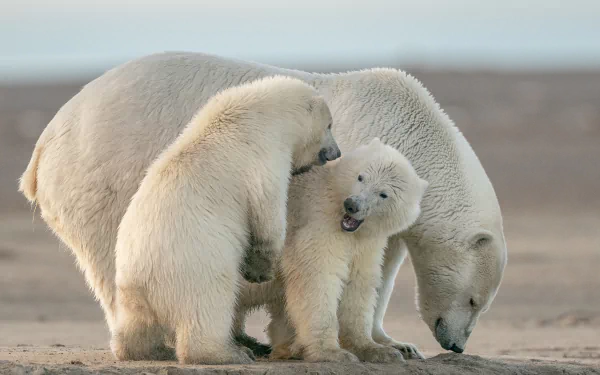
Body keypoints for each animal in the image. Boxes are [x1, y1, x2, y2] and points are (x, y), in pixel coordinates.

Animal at [110, 75, 340, 366]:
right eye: (330, 125)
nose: (336, 153)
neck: (259, 112)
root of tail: (143, 279)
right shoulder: (264, 157)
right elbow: (267, 212)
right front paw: (260, 270)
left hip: (130, 290)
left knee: (134, 325)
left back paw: (146, 350)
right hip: (195, 267)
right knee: (209, 306)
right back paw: (230, 352)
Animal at [262, 138, 426, 364]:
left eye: (383, 194)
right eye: (361, 177)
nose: (352, 205)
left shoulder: (365, 244)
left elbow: (357, 283)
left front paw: (375, 349)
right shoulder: (319, 224)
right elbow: (317, 278)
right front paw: (331, 352)